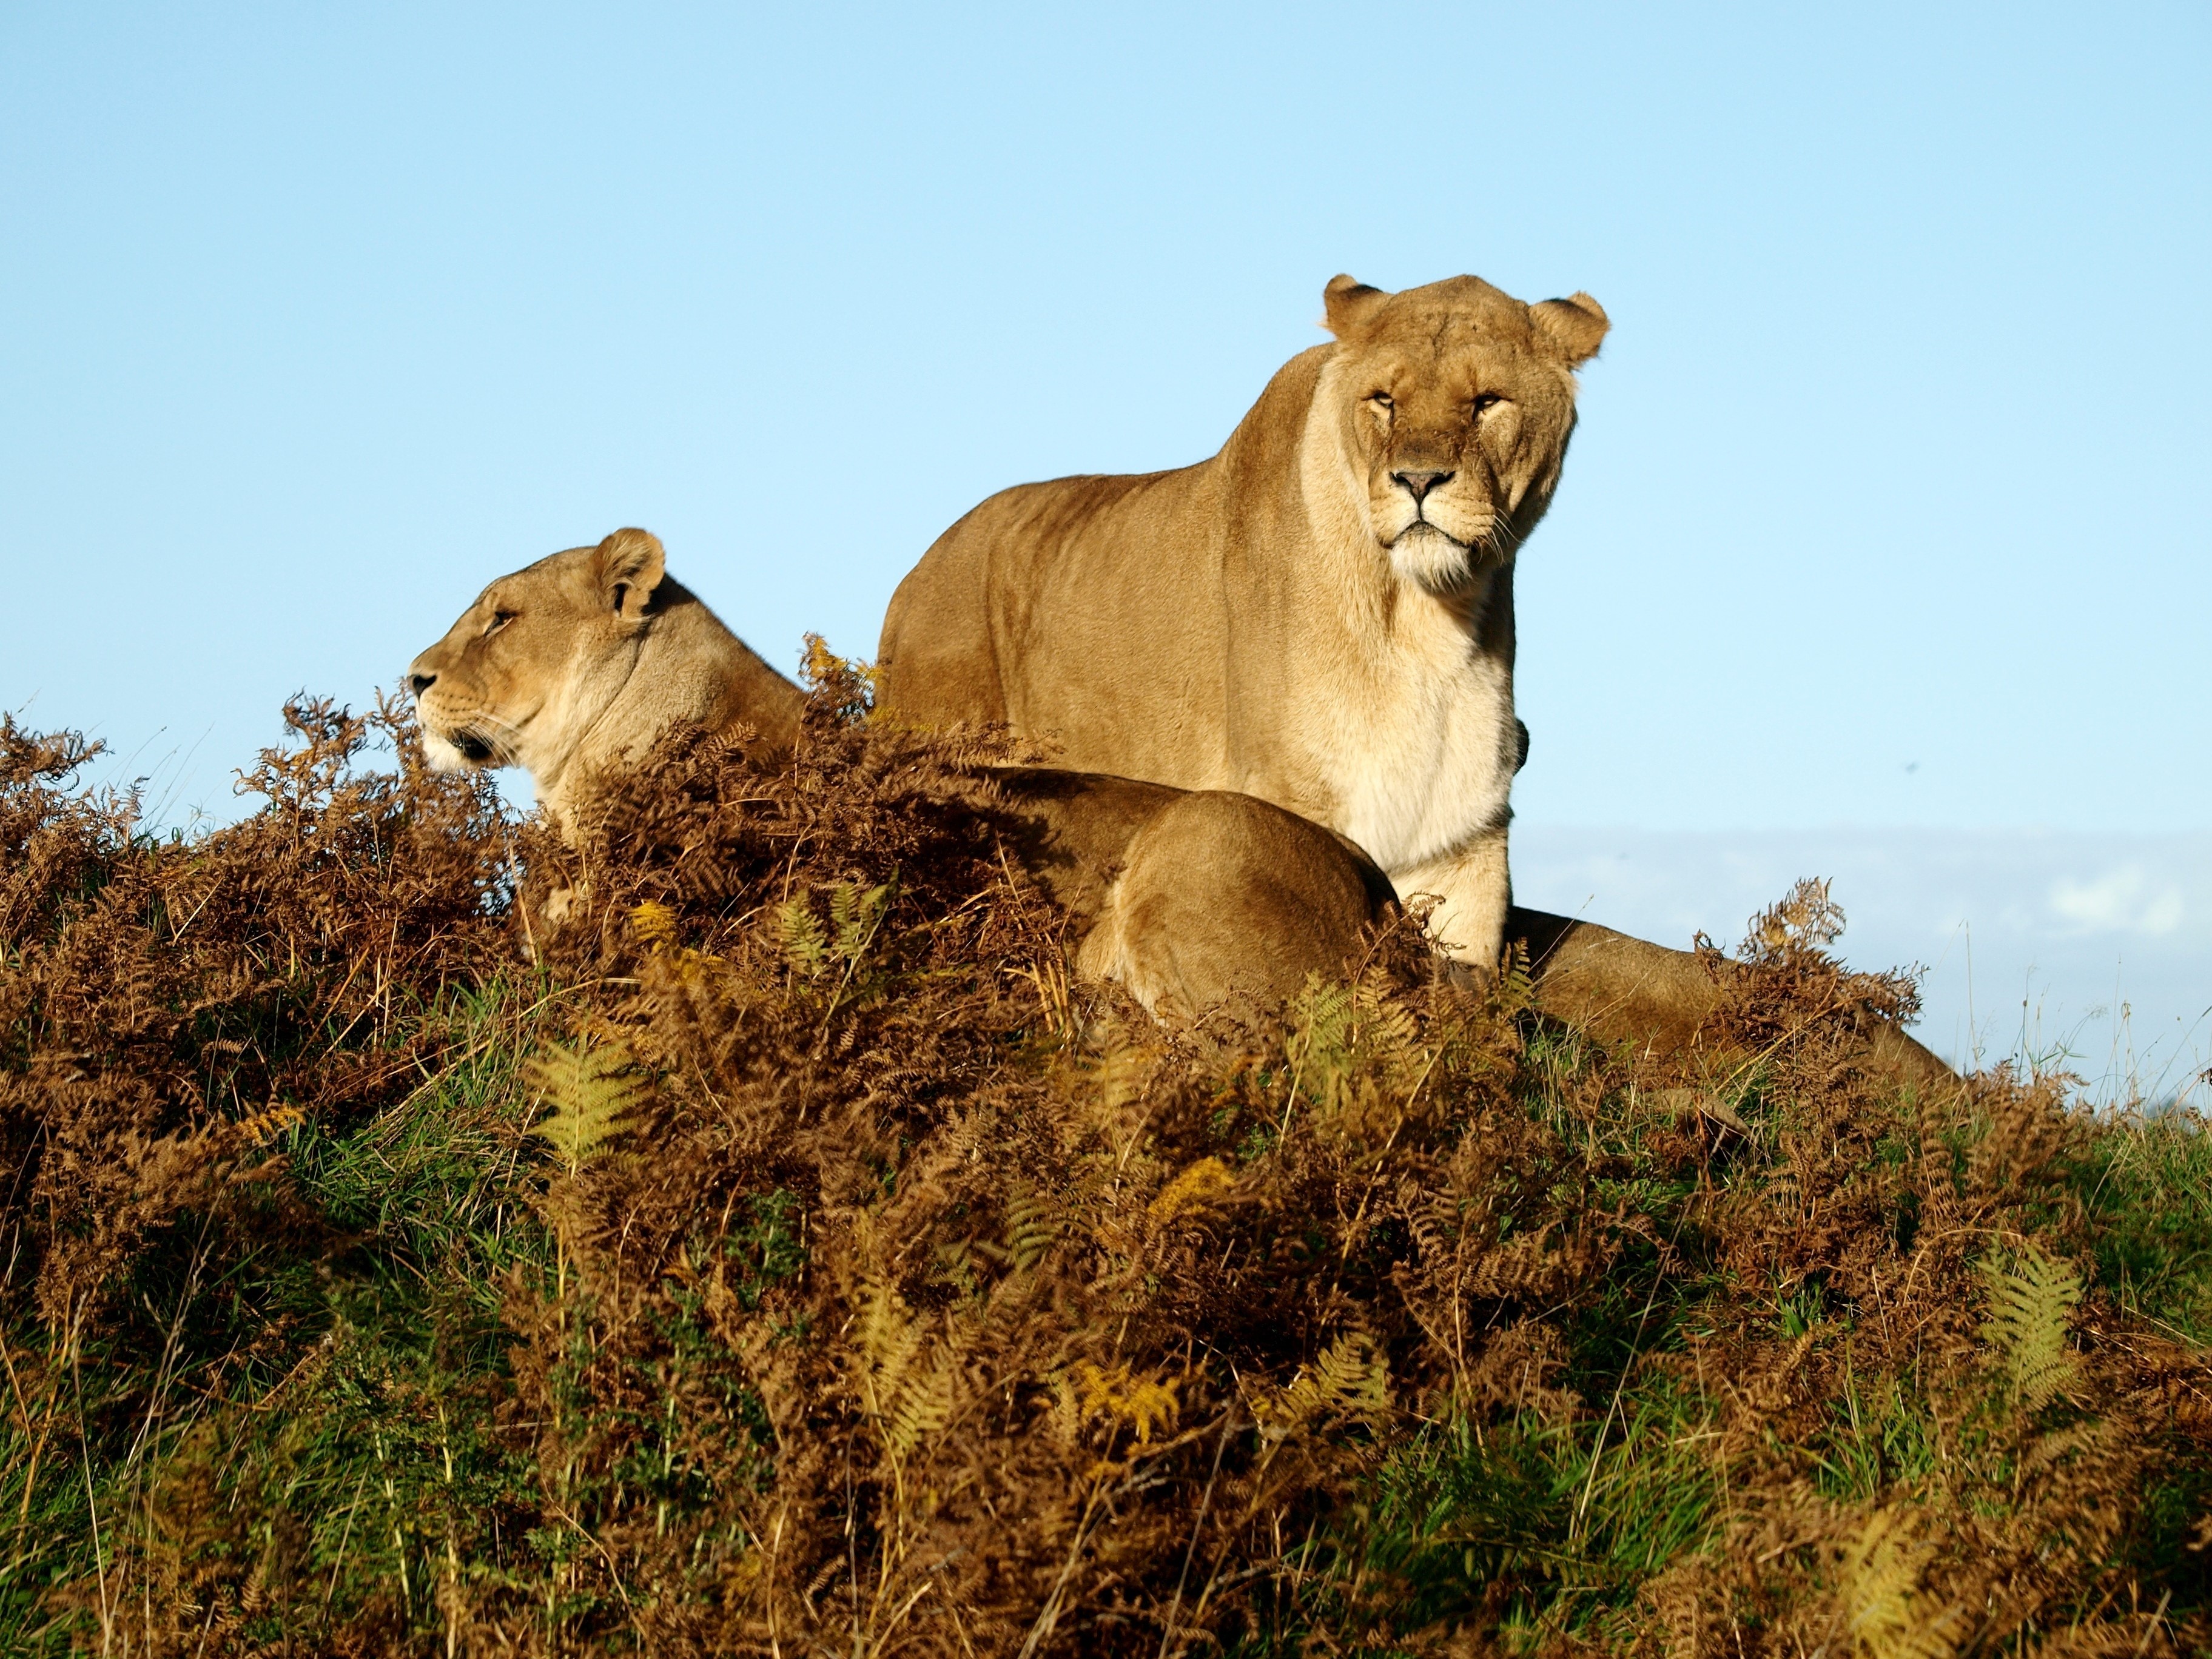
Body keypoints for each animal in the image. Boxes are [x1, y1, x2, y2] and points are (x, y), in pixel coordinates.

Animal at [876, 272, 1609, 975]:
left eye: (1487, 401)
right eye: (1383, 400)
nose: (1419, 479)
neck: (1422, 621)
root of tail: (919, 569)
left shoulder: (1464, 844)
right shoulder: (1292, 796)